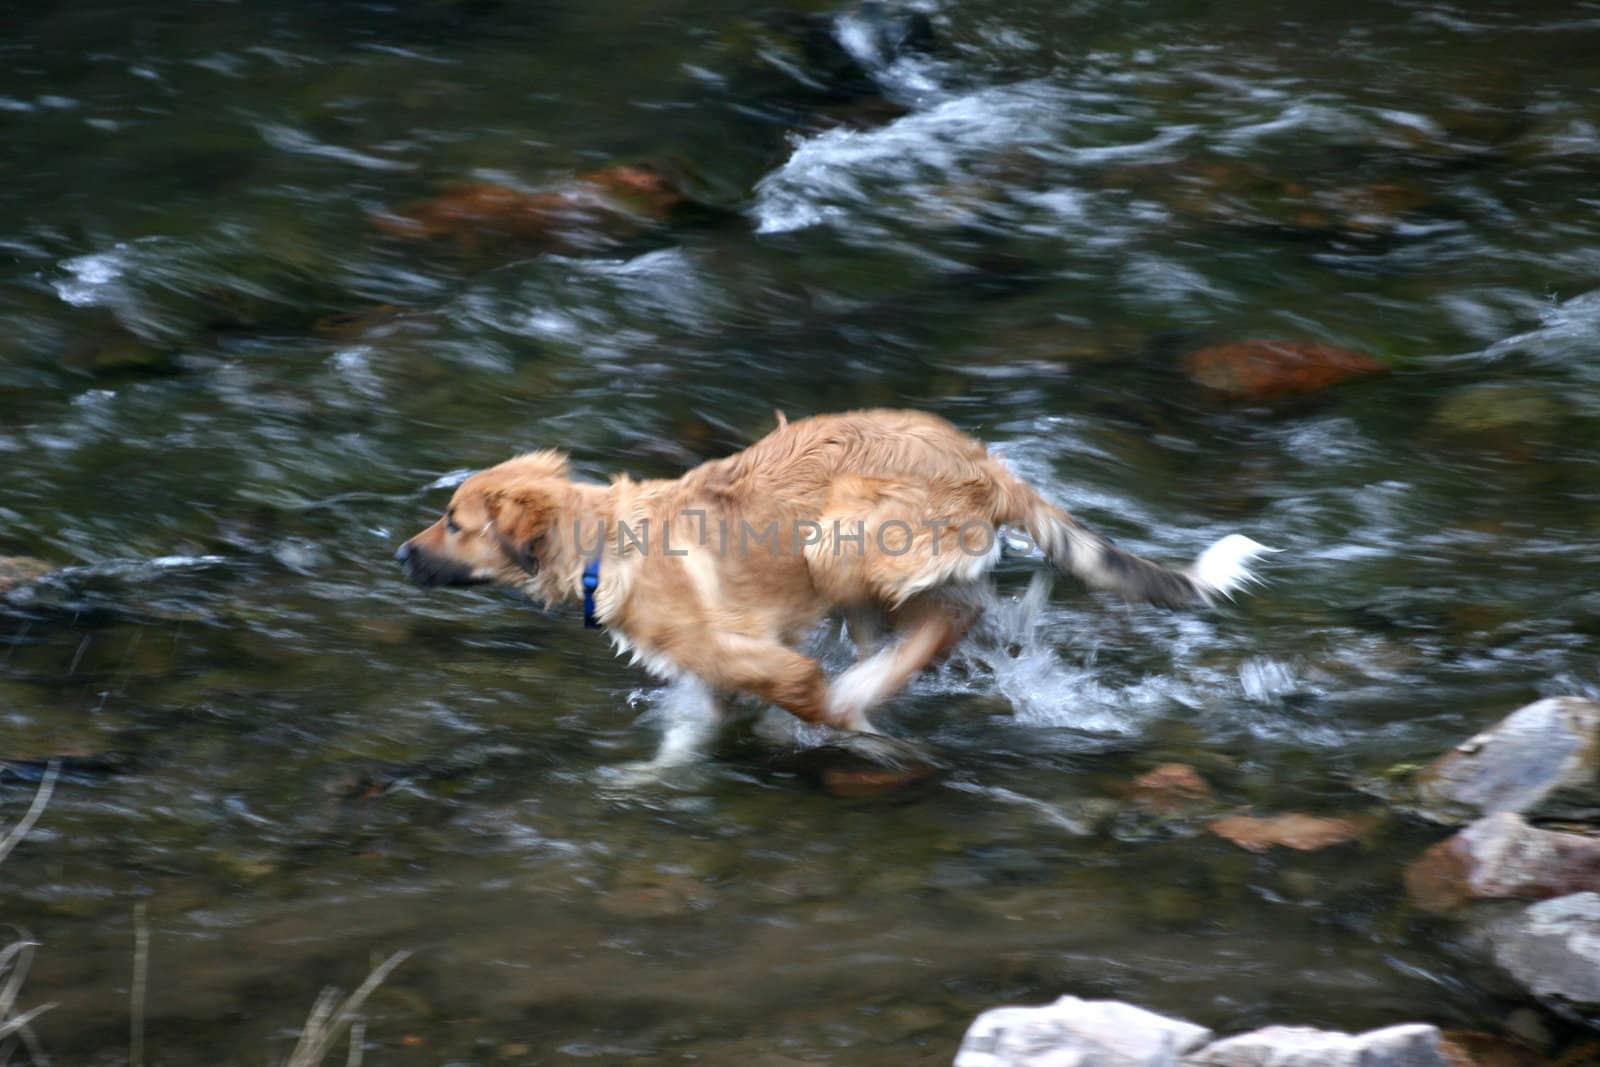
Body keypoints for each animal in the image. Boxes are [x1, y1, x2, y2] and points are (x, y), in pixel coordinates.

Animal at [393, 409, 1267, 742]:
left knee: (945, 622)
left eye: (453, 522)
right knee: (932, 626)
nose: (399, 553)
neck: (605, 542)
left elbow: (811, 693)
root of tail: (985, 462)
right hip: (860, 579)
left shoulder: (759, 657)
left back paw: (871, 688)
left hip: (841, 537)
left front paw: (849, 724)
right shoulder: (713, 679)